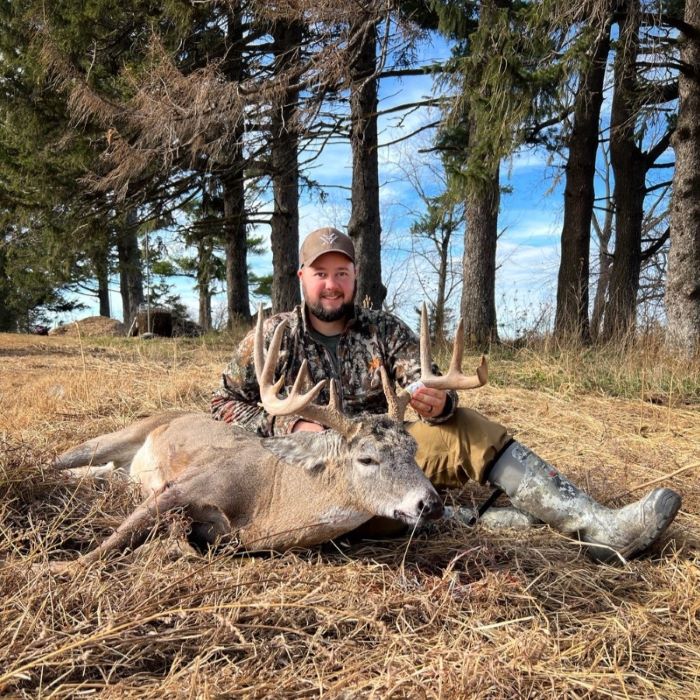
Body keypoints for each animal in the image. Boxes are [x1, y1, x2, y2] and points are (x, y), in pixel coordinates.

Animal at [53, 302, 486, 568]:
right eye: (366, 458)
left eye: (413, 450)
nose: (431, 504)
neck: (266, 505)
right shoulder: (182, 486)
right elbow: (116, 539)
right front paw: (64, 568)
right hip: (118, 434)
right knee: (61, 460)